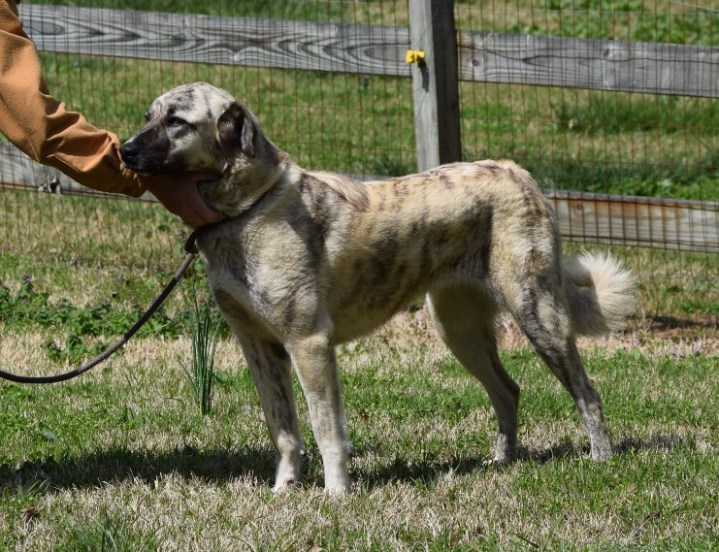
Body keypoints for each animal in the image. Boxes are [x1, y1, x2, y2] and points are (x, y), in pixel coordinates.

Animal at [120, 82, 636, 494]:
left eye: (176, 122)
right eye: (148, 116)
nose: (124, 151)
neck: (248, 209)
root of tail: (517, 171)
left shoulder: (309, 344)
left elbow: (326, 430)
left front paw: (336, 495)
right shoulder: (259, 348)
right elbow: (283, 430)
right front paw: (284, 491)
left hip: (538, 315)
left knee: (587, 392)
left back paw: (601, 459)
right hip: (458, 330)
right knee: (507, 390)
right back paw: (501, 461)